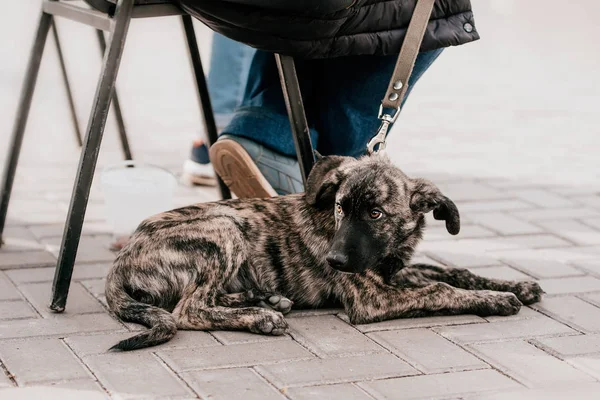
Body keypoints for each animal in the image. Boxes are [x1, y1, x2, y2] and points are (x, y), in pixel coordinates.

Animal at [105, 153, 548, 350]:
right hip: (223, 227)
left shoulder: (394, 271)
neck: (388, 251)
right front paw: (495, 299)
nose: (333, 261)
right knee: (188, 309)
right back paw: (260, 317)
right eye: (339, 208)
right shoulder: (372, 298)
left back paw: (263, 298)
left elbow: (451, 272)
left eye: (375, 213)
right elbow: (440, 290)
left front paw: (514, 285)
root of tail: (122, 259)